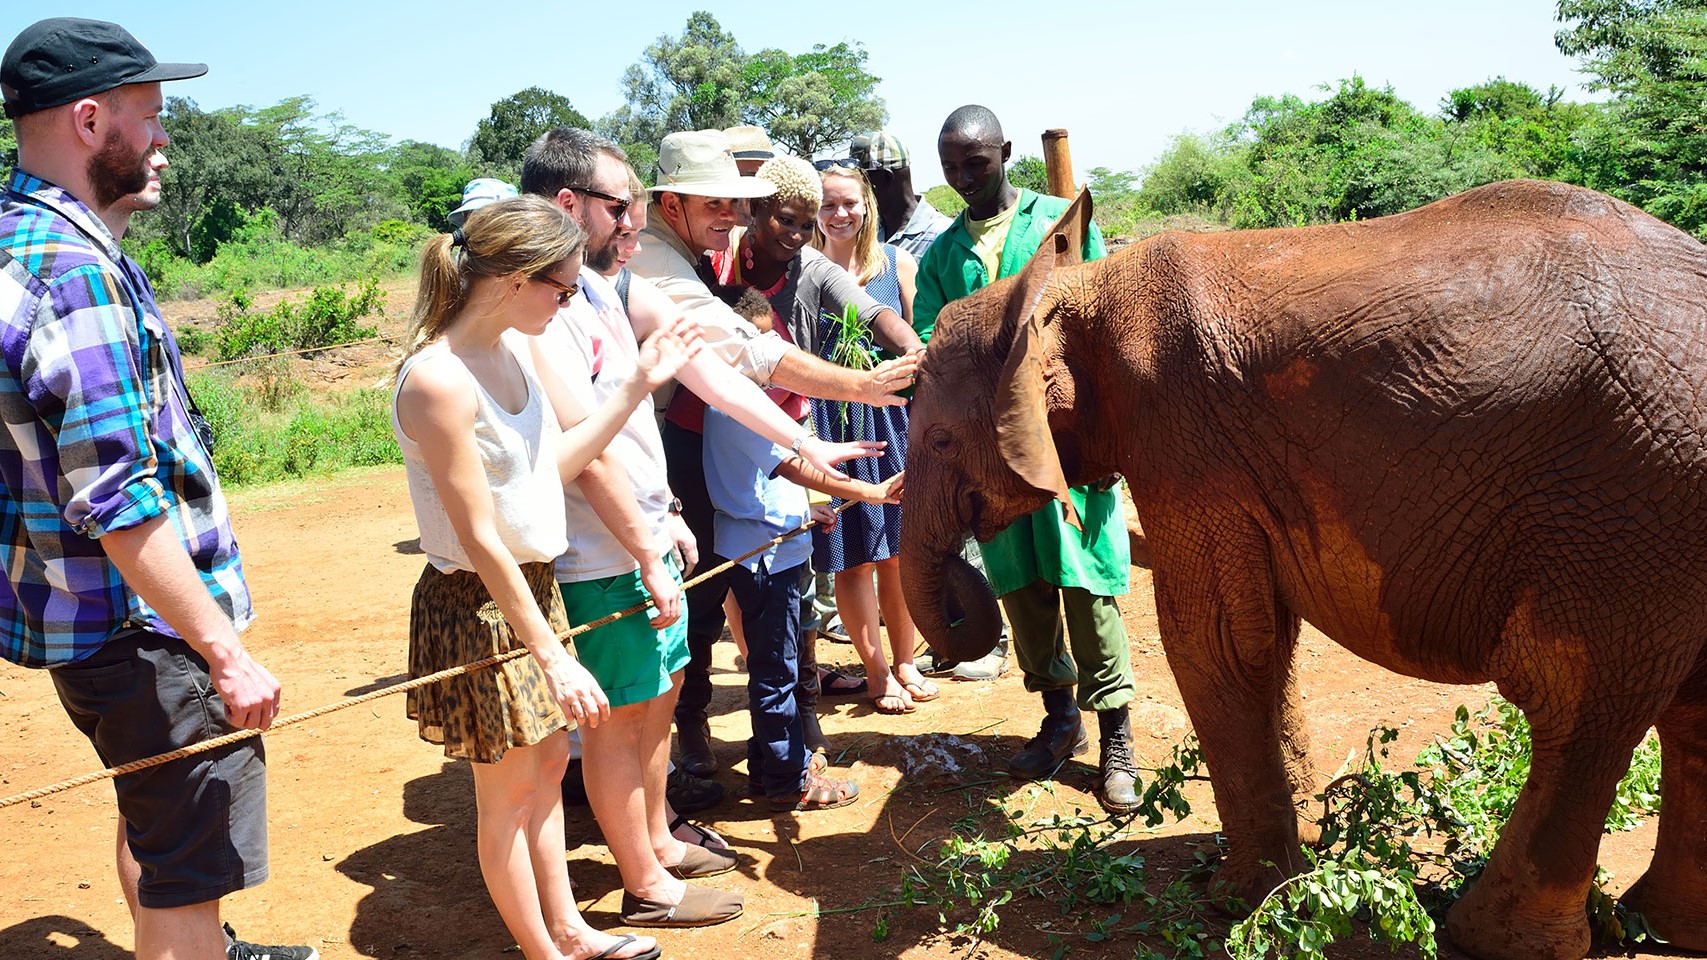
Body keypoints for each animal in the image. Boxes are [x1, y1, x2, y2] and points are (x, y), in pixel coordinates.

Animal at [899, 180, 1707, 960]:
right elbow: (1263, 639)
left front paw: (1241, 901)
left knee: (1574, 702)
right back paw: (1657, 925)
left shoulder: (1183, 438)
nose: (959, 612)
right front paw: (1308, 854)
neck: (1076, 287)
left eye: (939, 440)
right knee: (1684, 713)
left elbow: (1218, 644)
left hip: (1629, 507)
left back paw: (1486, 938)